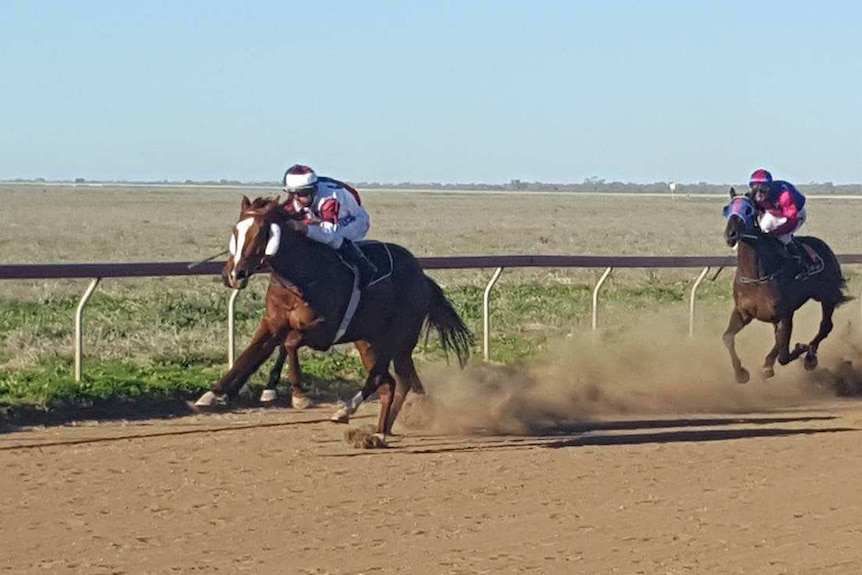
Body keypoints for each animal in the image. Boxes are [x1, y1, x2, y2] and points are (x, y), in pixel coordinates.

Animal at [194, 197, 472, 440]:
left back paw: (352, 414)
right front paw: (215, 393)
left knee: (384, 378)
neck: (300, 275)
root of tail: (422, 276)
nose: (234, 274)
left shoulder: (324, 331)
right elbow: (249, 355)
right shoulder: (272, 324)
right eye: (235, 230)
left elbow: (289, 344)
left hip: (398, 336)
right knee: (393, 382)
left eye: (261, 233)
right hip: (370, 341)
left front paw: (298, 395)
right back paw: (380, 430)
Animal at [724, 189, 852, 384]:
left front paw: (797, 350)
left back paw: (810, 357)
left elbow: (783, 355)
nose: (730, 235)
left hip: (827, 296)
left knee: (826, 326)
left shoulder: (784, 314)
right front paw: (741, 373)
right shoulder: (743, 312)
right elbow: (728, 338)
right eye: (727, 209)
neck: (757, 276)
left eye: (749, 210)